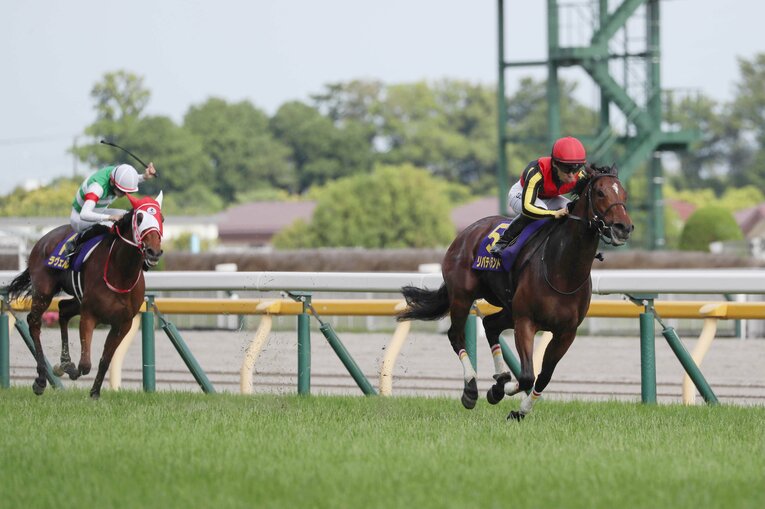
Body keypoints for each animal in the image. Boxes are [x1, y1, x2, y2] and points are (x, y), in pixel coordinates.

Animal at [6, 192, 164, 399]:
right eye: (139, 218)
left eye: (162, 218)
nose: (154, 252)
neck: (121, 274)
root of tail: (43, 239)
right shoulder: (89, 315)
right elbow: (85, 364)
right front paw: (66, 369)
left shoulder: (123, 323)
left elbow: (105, 360)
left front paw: (94, 392)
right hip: (44, 291)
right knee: (34, 321)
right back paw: (41, 380)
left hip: (78, 298)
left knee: (63, 309)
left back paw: (64, 362)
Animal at [397, 165, 633, 420]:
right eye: (600, 193)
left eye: (624, 194)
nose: (623, 227)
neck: (563, 270)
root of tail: (466, 232)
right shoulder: (525, 321)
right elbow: (527, 375)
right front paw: (506, 389)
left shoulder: (566, 332)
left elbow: (544, 376)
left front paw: (519, 407)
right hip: (462, 297)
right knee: (456, 335)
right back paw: (471, 389)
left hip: (507, 306)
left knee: (490, 325)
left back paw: (499, 380)